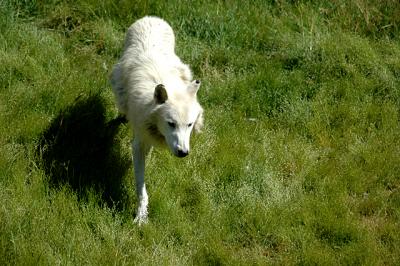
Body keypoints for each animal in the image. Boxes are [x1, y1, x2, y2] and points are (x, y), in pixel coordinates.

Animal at [109, 16, 203, 223]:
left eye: (189, 125)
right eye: (171, 124)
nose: (183, 153)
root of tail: (151, 18)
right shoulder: (138, 143)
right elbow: (141, 186)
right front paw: (141, 216)